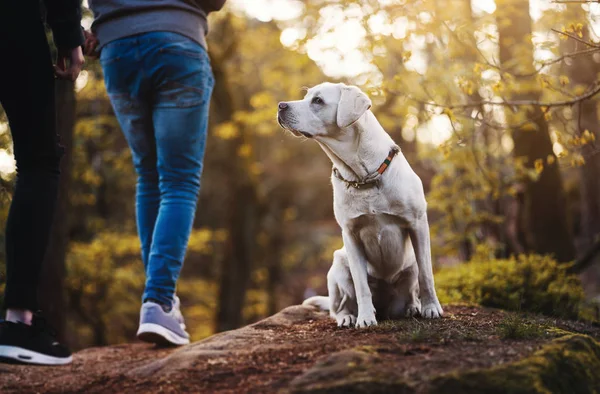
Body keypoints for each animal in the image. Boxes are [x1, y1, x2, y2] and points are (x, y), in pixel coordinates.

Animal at [278, 82, 442, 326]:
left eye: (317, 100)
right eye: (307, 97)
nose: (280, 105)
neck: (363, 176)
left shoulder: (418, 224)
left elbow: (427, 273)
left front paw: (431, 307)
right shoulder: (351, 234)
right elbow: (361, 284)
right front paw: (365, 318)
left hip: (408, 266)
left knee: (413, 285)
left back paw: (413, 307)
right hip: (337, 266)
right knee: (338, 306)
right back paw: (348, 317)